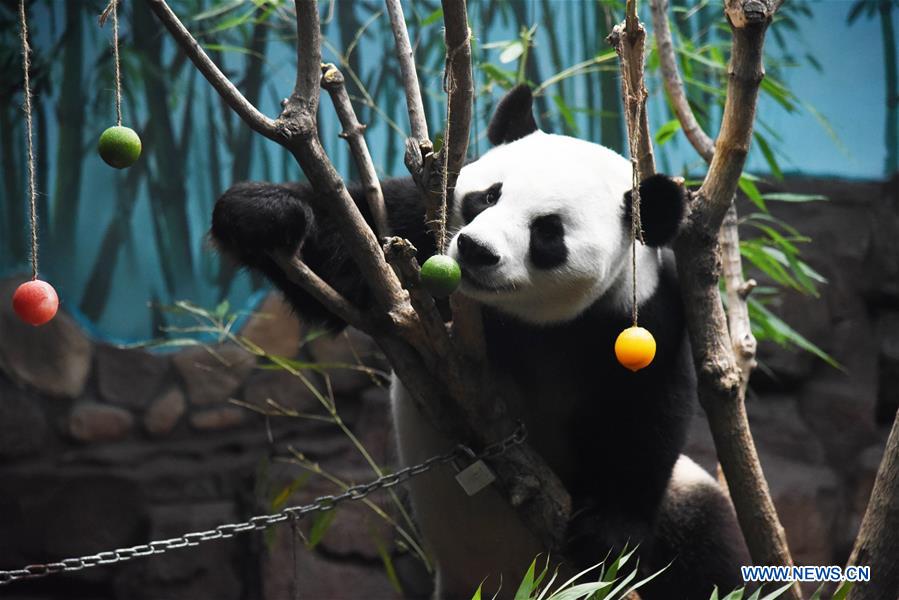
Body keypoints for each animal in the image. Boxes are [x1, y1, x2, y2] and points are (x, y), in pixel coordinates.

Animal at [211, 85, 750, 600]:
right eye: (489, 196)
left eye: (548, 232)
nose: (476, 250)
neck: (521, 317)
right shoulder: (417, 226)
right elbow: (345, 253)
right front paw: (263, 214)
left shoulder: (643, 311)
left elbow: (645, 411)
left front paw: (606, 533)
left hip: (685, 498)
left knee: (708, 549)